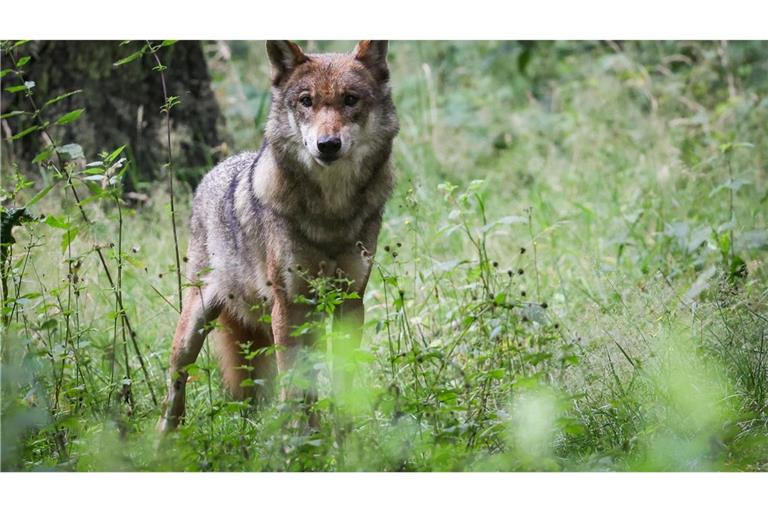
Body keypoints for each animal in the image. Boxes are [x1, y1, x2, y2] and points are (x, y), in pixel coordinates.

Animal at [154, 41, 400, 432]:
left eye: (350, 100)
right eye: (306, 101)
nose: (327, 144)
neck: (330, 214)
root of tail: (214, 171)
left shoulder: (349, 302)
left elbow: (341, 382)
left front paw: (344, 437)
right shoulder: (289, 305)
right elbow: (294, 386)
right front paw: (299, 440)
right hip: (195, 326)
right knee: (174, 390)